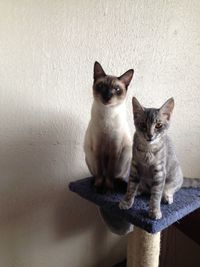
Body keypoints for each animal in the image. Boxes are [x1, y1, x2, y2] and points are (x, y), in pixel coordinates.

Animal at [83, 61, 134, 192]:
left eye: (117, 89)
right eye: (102, 87)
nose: (107, 96)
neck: (107, 113)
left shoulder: (114, 149)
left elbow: (110, 174)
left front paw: (108, 188)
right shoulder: (97, 148)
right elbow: (100, 173)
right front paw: (98, 186)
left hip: (125, 154)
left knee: (116, 176)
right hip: (89, 154)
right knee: (99, 174)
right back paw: (94, 184)